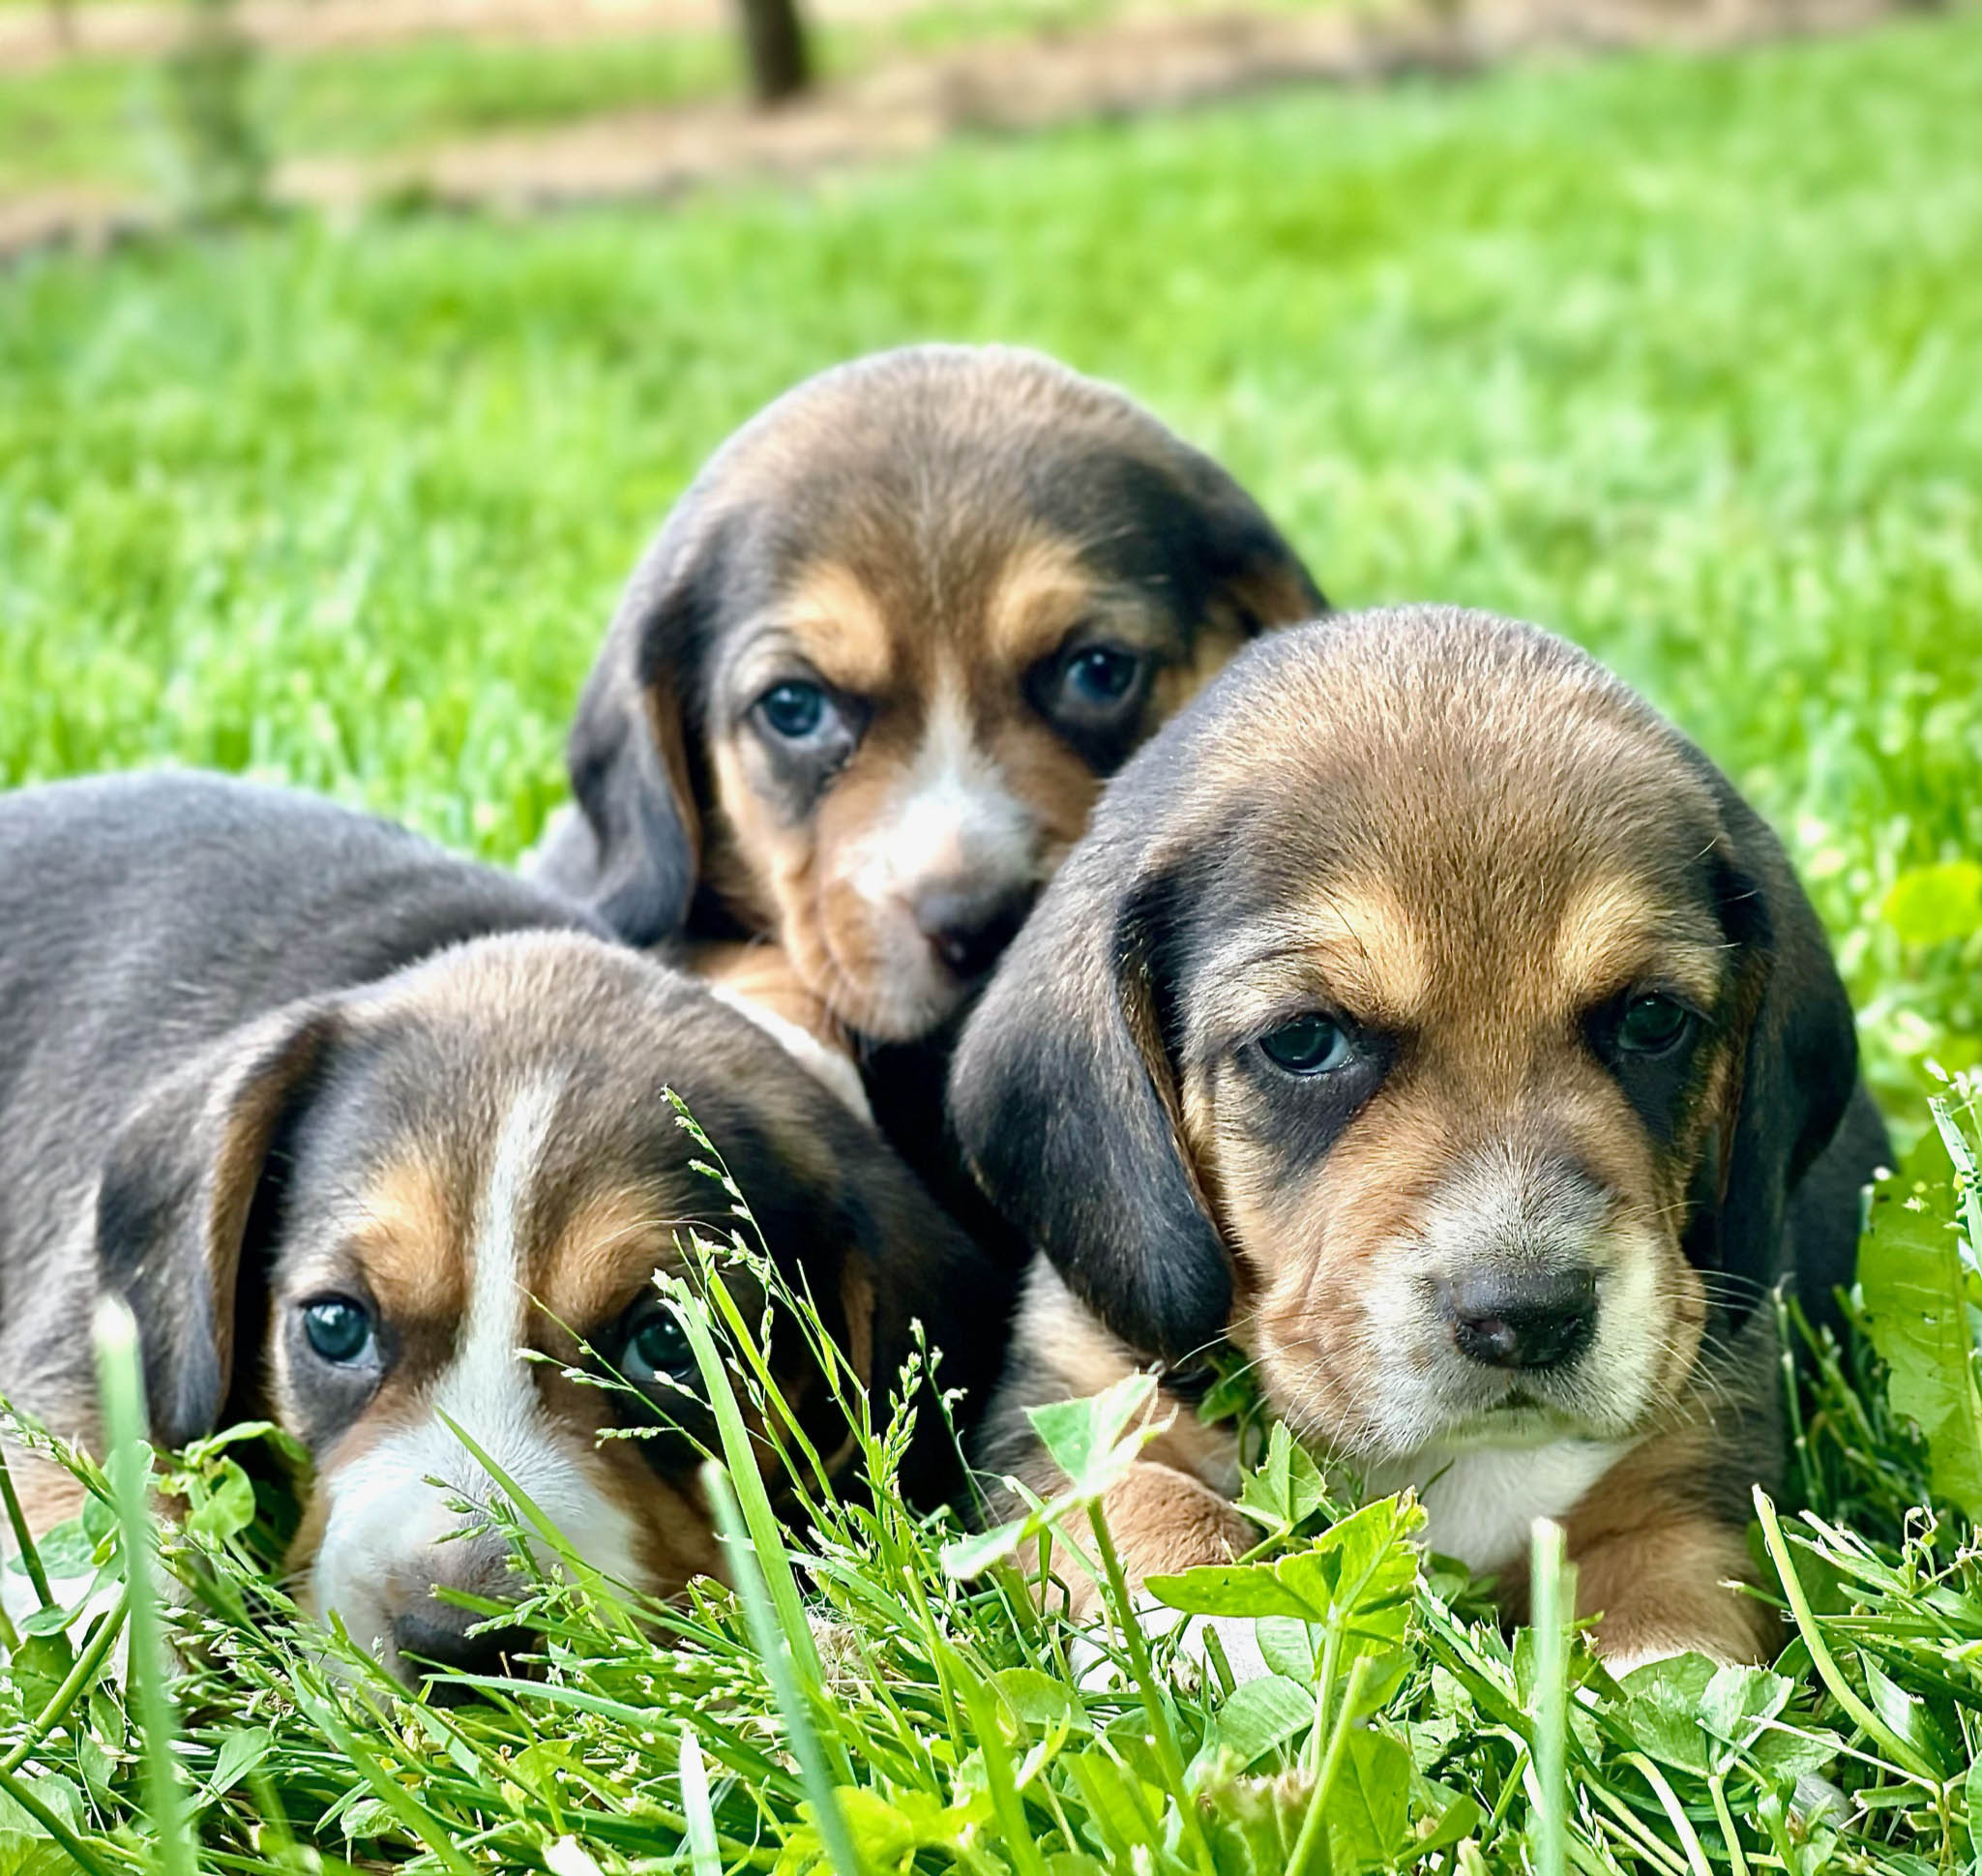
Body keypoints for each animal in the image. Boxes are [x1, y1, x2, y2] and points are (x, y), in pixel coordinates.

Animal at [955, 603, 1886, 1665]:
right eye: (1304, 1041)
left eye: (1652, 1020)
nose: (1528, 1316)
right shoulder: (1067, 1415)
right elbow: (1142, 1507)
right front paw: (1234, 1639)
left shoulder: (1691, 1485)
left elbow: (1672, 1608)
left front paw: (1675, 1693)